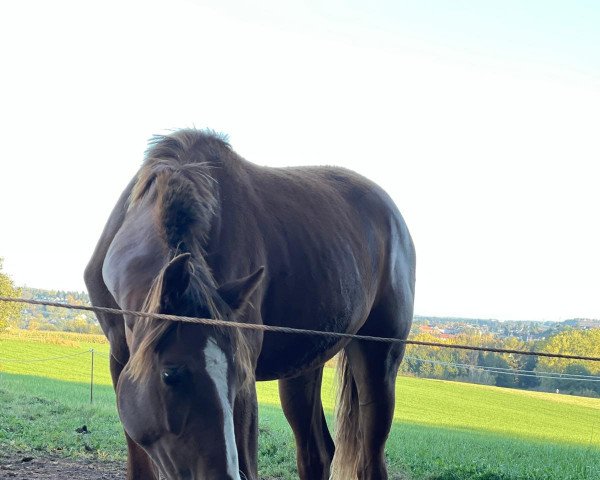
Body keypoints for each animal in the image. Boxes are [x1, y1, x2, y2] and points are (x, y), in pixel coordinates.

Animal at [84, 128, 414, 480]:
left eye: (238, 378)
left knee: (371, 459)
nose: (219, 477)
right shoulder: (121, 359)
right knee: (318, 454)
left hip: (379, 362)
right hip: (302, 370)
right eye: (171, 375)